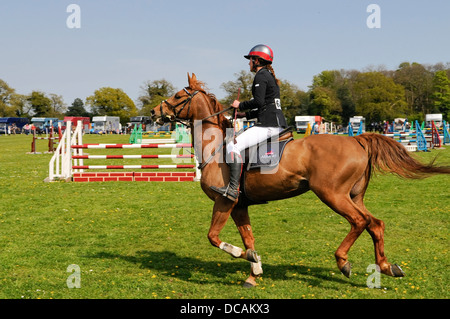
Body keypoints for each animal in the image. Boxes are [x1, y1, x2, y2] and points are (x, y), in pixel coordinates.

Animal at [152, 74, 450, 288]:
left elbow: (214, 238)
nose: (154, 112)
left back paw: (343, 262)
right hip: (353, 195)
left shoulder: (225, 201)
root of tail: (356, 140)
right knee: (375, 224)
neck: (216, 148)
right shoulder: (240, 206)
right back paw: (388, 268)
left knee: (360, 221)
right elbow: (249, 238)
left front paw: (242, 257)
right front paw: (254, 270)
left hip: (332, 194)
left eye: (178, 95)